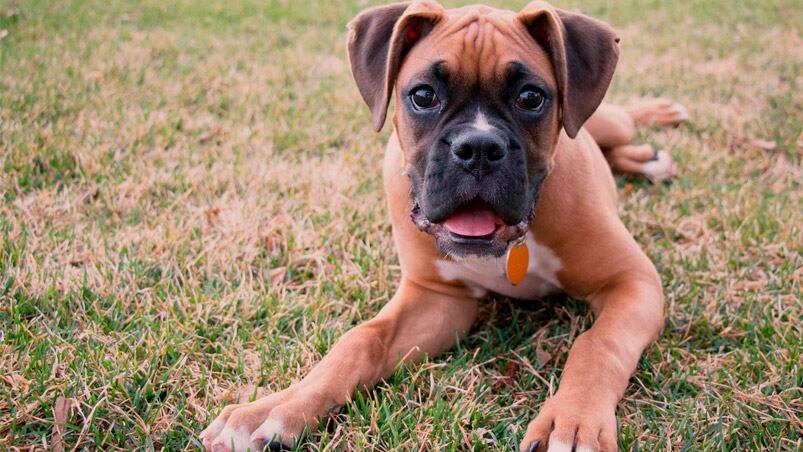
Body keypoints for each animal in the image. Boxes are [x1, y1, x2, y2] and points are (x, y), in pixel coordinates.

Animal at [204, 1, 688, 450]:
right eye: (423, 95)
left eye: (531, 98)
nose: (478, 147)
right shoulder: (437, 299)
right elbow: (360, 340)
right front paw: (276, 408)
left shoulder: (633, 282)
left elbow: (597, 345)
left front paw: (572, 422)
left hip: (607, 121)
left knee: (624, 120)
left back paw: (659, 121)